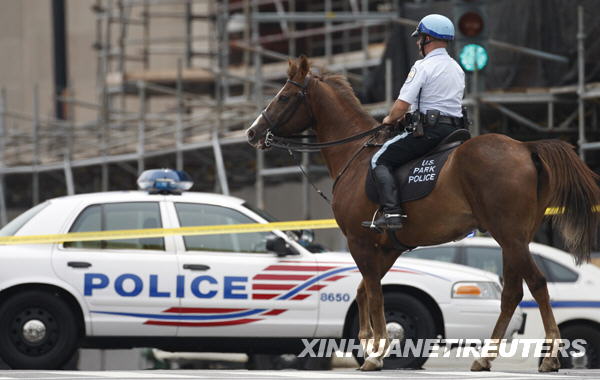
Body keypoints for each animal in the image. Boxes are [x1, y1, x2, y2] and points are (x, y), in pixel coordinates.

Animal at [245, 56, 600, 372]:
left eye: (284, 96)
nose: (252, 132)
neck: (356, 157)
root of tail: (524, 147)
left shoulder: (360, 241)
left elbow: (374, 293)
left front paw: (377, 353)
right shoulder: (389, 247)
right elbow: (364, 291)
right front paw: (368, 342)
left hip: (509, 235)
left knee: (537, 283)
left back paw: (550, 357)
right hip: (515, 239)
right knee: (513, 292)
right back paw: (485, 358)